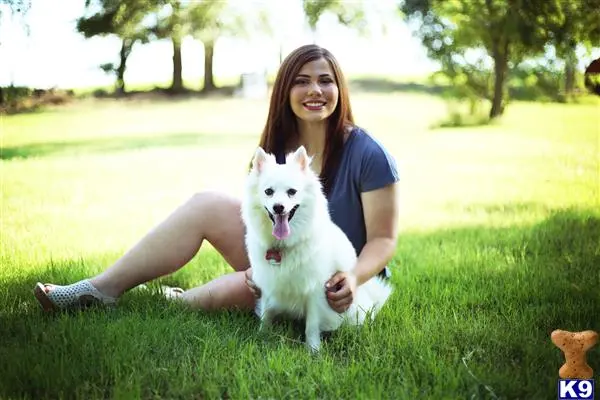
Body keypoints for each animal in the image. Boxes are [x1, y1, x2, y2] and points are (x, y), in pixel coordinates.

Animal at [240, 145, 394, 352]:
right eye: (268, 191)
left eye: (292, 192)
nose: (278, 207)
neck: (284, 245)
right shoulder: (267, 285)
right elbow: (266, 313)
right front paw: (262, 337)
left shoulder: (316, 289)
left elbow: (312, 324)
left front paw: (313, 350)